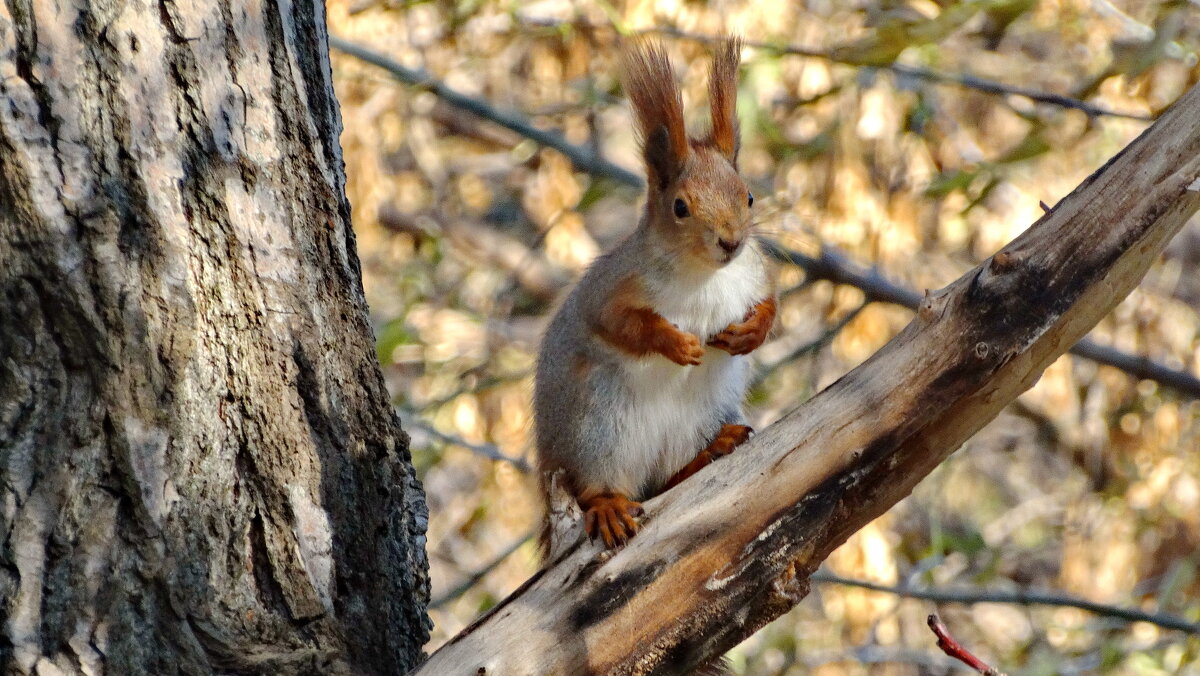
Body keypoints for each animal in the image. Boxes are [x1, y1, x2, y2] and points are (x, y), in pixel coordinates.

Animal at [535, 38, 777, 549]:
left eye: (748, 196)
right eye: (680, 207)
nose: (731, 242)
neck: (706, 274)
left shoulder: (756, 273)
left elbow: (772, 305)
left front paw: (751, 334)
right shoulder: (612, 288)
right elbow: (620, 323)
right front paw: (677, 343)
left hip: (699, 416)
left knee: (667, 479)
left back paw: (712, 450)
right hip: (598, 429)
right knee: (598, 489)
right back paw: (609, 506)